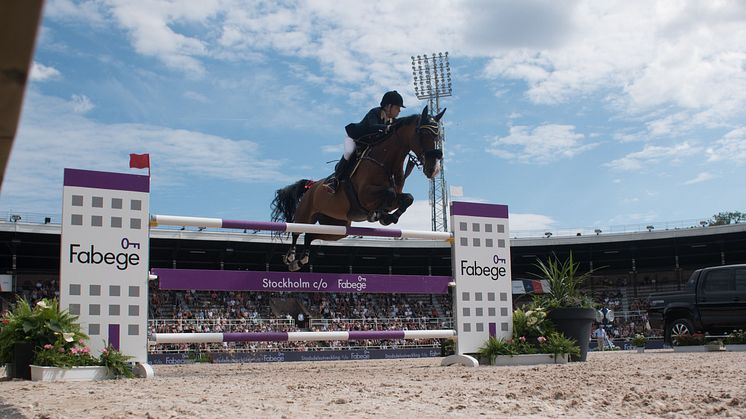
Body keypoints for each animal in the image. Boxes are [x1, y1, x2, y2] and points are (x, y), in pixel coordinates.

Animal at [272, 106, 442, 272]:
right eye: (423, 133)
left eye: (438, 137)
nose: (433, 170)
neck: (387, 161)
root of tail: (311, 186)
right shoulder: (365, 195)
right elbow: (389, 192)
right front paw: (379, 215)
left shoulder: (394, 199)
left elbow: (407, 198)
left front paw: (388, 217)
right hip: (305, 214)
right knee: (296, 231)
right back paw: (291, 257)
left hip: (337, 227)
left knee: (310, 235)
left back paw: (301, 261)